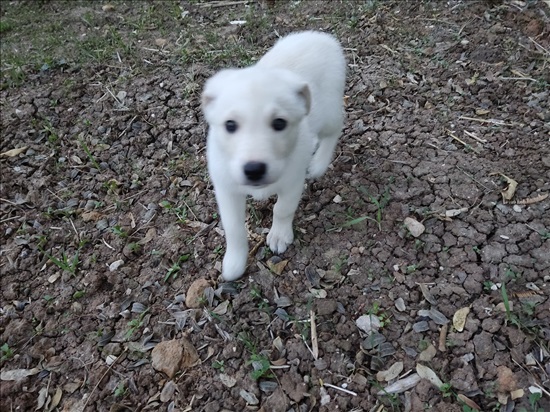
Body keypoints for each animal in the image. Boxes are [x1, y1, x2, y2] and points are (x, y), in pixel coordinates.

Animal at [203, 31, 348, 280]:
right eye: (230, 125)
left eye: (279, 123)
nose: (254, 170)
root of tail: (322, 37)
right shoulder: (227, 189)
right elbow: (234, 228)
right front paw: (234, 263)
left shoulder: (292, 182)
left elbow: (282, 209)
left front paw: (279, 236)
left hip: (328, 112)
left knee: (336, 128)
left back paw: (319, 164)